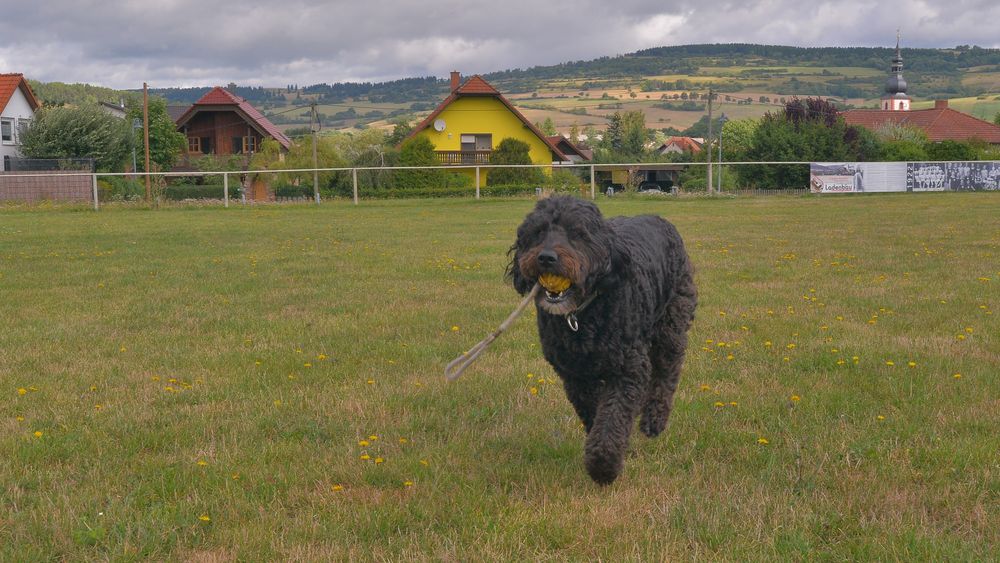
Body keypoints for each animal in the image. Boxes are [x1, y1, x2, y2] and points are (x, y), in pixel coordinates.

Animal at [508, 197, 696, 484]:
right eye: (538, 232)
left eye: (577, 233)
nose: (546, 257)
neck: (583, 316)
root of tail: (658, 218)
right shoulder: (575, 377)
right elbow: (596, 414)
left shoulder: (627, 370)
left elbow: (612, 418)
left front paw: (603, 466)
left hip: (671, 327)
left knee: (667, 373)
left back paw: (654, 419)